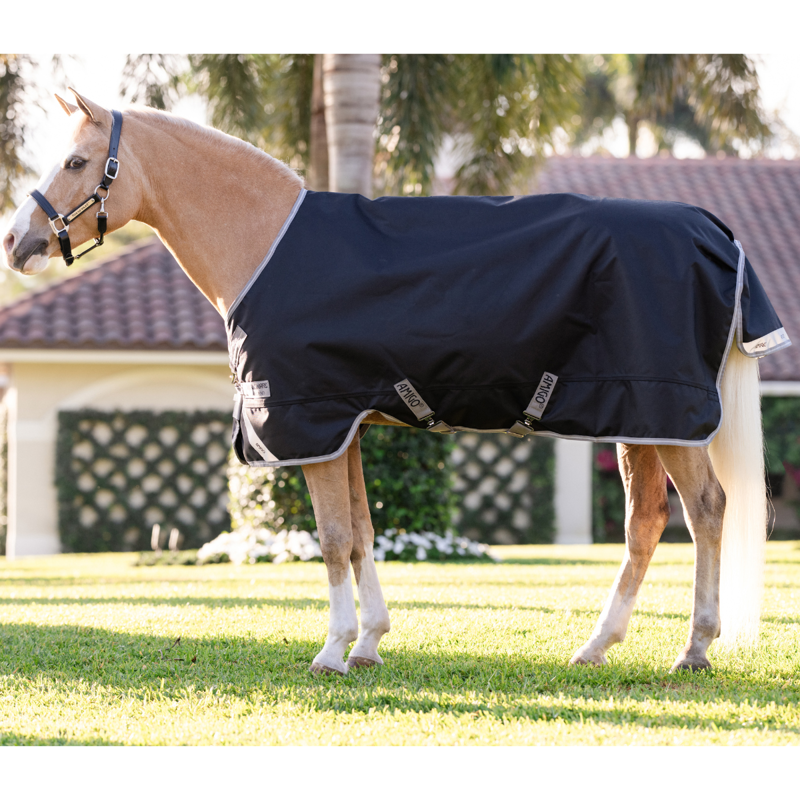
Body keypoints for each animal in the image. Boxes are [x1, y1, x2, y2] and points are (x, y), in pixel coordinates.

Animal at [2, 89, 777, 675]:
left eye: (76, 161)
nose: (16, 243)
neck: (265, 242)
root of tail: (713, 231)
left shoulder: (311, 424)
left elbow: (332, 538)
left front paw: (332, 651)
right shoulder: (343, 427)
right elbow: (363, 533)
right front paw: (370, 643)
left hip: (668, 417)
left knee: (706, 510)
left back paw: (694, 649)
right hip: (638, 417)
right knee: (645, 524)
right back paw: (596, 648)